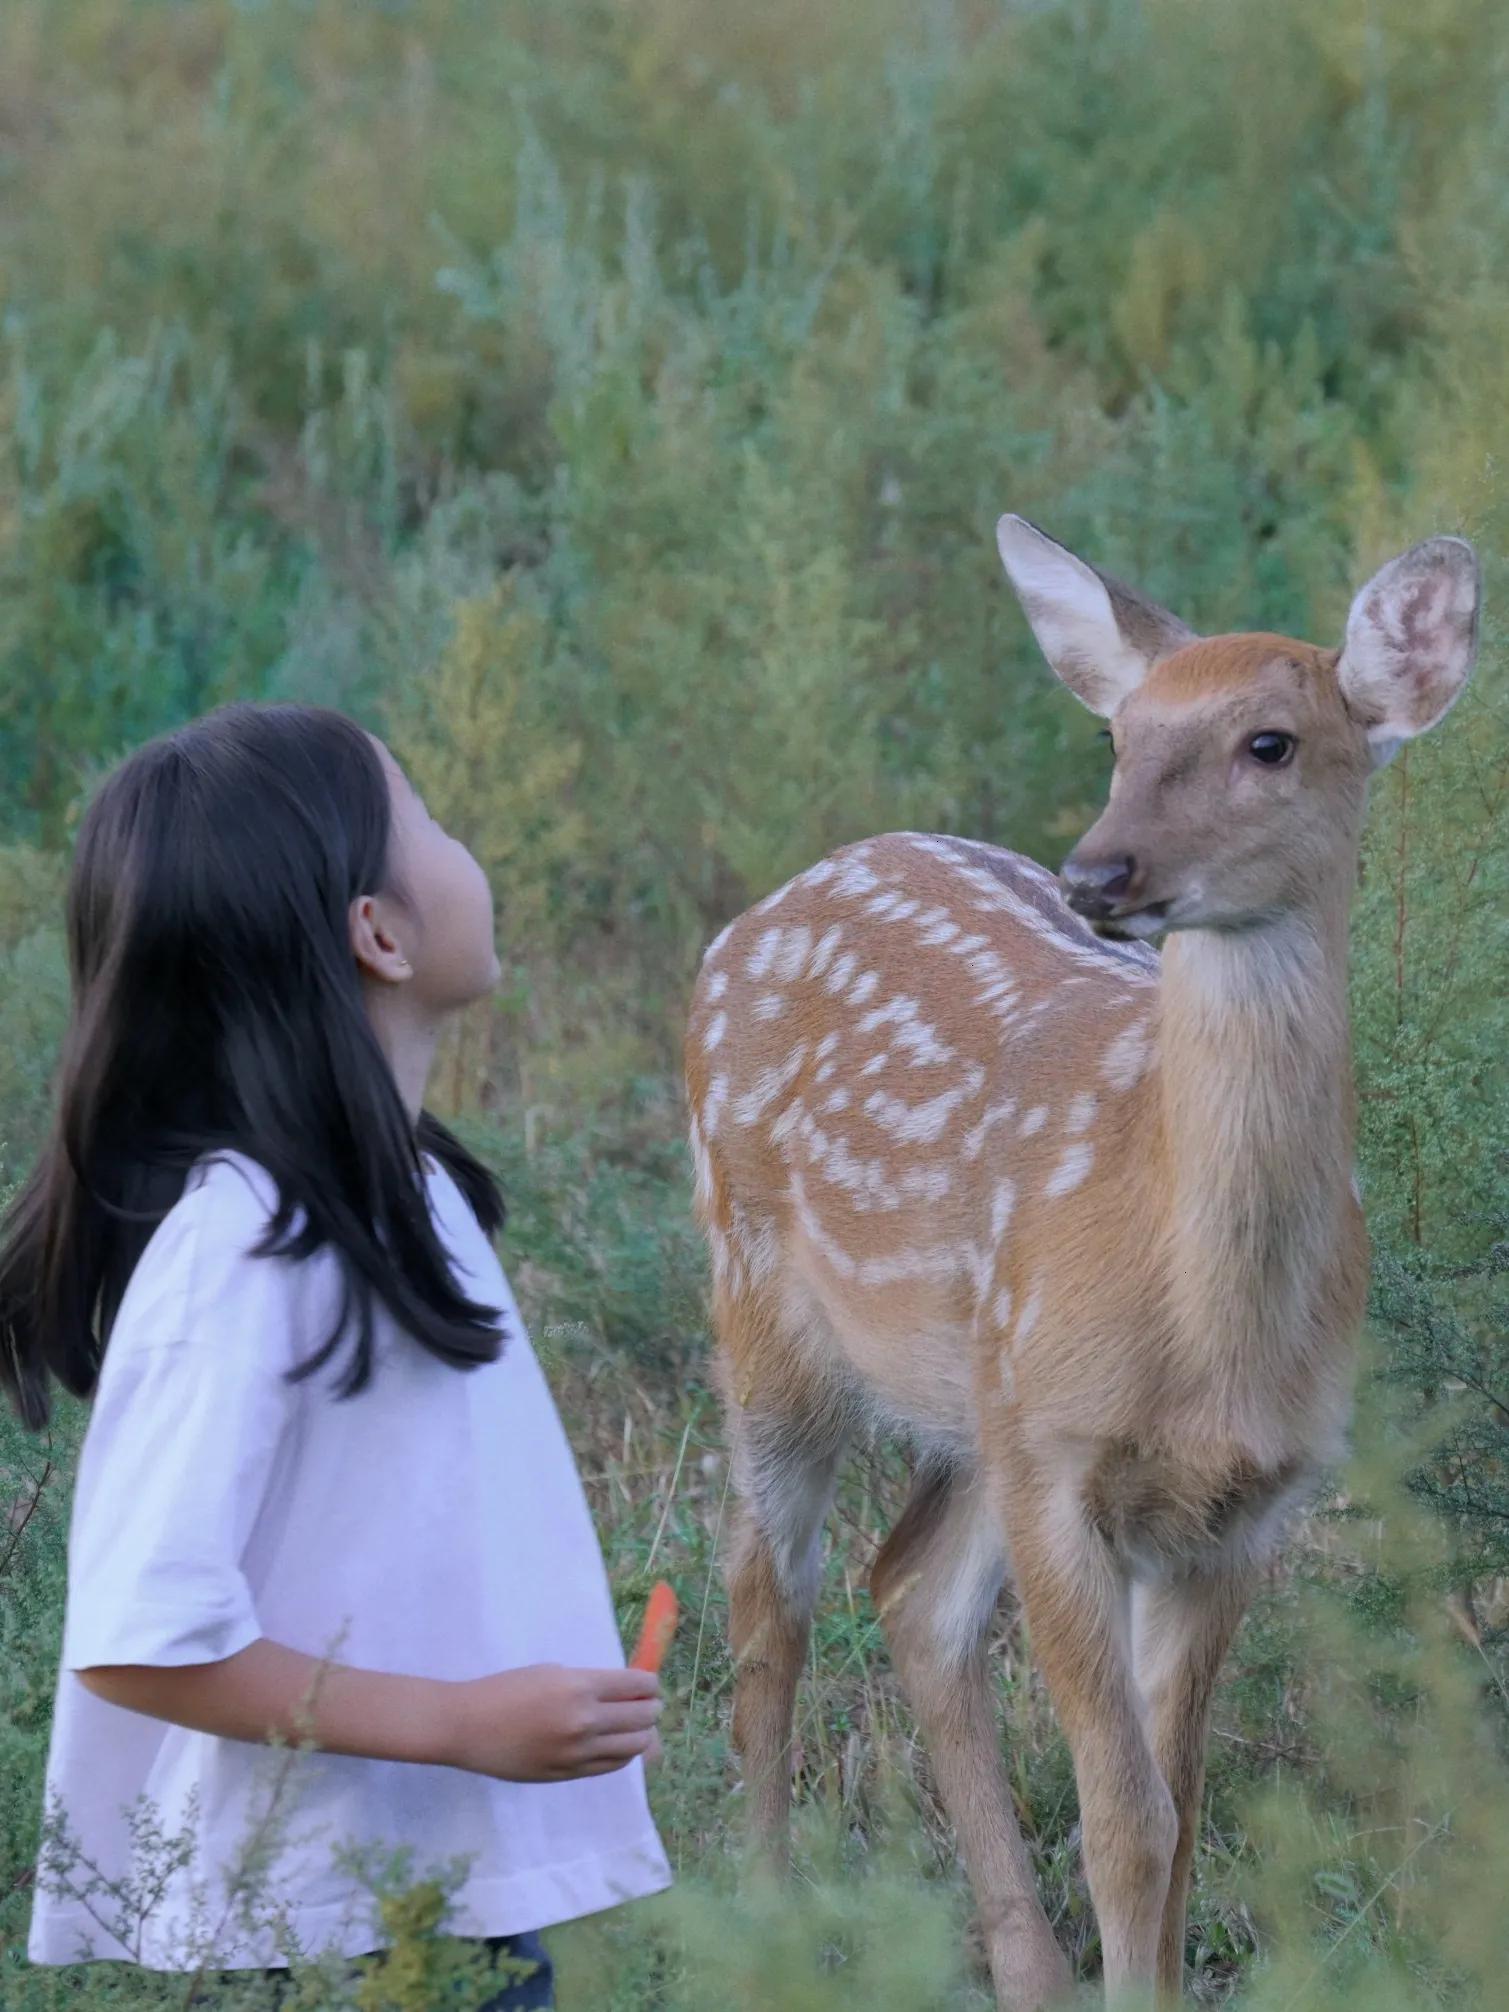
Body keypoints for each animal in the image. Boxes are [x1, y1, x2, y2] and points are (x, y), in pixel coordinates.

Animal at [682, 515, 1480, 2007]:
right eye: (1118, 734)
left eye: (1271, 741)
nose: (1097, 874)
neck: (1198, 1310)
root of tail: (758, 912)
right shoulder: (1059, 1459)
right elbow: (1126, 1816)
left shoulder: (1239, 1506)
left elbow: (1180, 1810)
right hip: (759, 1295)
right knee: (767, 1597)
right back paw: (764, 1922)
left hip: (978, 1398)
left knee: (912, 1593)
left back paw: (1026, 1971)